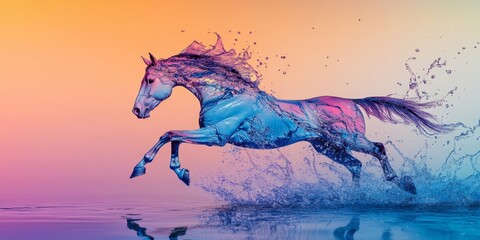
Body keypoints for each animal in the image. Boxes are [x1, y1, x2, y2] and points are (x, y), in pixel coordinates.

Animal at [129, 34, 448, 194]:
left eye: (150, 80)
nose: (137, 110)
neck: (224, 94)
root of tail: (351, 101)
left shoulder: (216, 136)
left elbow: (169, 134)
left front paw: (141, 167)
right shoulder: (211, 135)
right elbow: (173, 138)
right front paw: (181, 173)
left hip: (349, 139)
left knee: (378, 149)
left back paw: (405, 184)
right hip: (327, 147)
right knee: (356, 165)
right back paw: (355, 197)